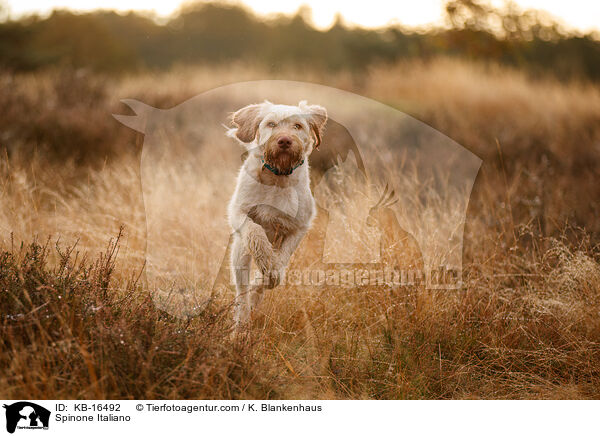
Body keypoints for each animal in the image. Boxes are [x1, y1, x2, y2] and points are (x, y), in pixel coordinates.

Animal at [226, 99, 328, 324]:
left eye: (297, 126)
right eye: (271, 124)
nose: (284, 140)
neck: (277, 178)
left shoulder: (299, 227)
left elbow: (281, 262)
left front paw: (270, 274)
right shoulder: (238, 213)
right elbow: (255, 231)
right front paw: (265, 260)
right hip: (239, 253)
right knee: (242, 291)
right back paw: (241, 322)